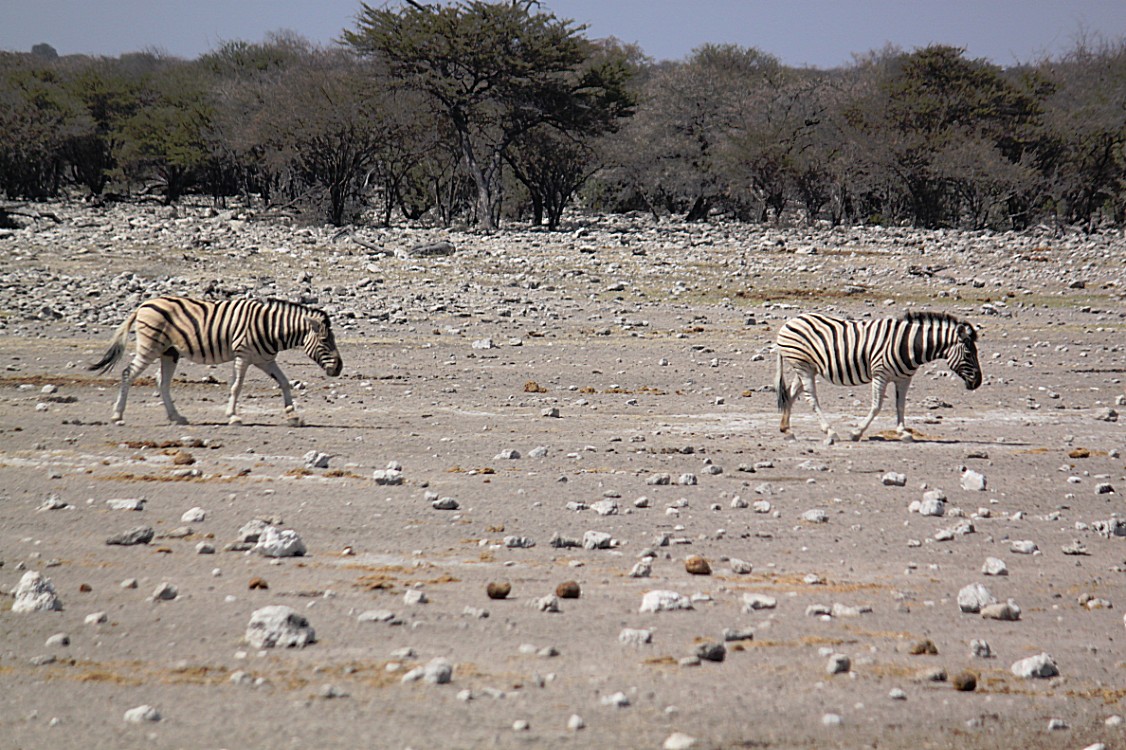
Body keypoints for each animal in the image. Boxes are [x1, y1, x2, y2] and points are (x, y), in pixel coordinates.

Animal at [89, 297, 342, 425]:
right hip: (150, 347)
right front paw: (233, 416)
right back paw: (117, 415)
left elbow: (284, 382)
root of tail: (142, 305)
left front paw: (292, 415)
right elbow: (236, 386)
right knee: (127, 374)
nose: (339, 368)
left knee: (163, 382)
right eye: (325, 342)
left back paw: (176, 417)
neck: (271, 329)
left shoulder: (265, 360)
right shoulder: (244, 355)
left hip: (170, 352)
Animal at [779, 308, 981, 439]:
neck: (910, 344)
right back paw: (830, 431)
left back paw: (787, 429)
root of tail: (789, 322)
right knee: (811, 398)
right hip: (803, 366)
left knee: (790, 393)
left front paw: (903, 432)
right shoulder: (880, 374)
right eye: (969, 354)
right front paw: (856, 432)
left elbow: (901, 405)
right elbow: (876, 406)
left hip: (806, 367)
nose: (978, 382)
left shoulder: (904, 378)